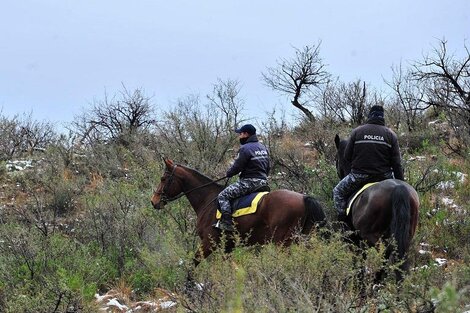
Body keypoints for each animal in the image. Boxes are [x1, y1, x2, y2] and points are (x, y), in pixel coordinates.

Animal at [151, 158, 326, 264]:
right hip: (304, 238)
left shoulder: (208, 243)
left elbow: (193, 264)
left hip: (283, 242)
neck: (207, 199)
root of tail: (304, 197)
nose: (154, 201)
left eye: (163, 179)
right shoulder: (228, 248)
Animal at [334, 135, 418, 276]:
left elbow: (358, 259)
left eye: (336, 159)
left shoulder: (356, 240)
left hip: (371, 237)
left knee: (384, 253)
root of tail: (398, 188)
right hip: (407, 236)